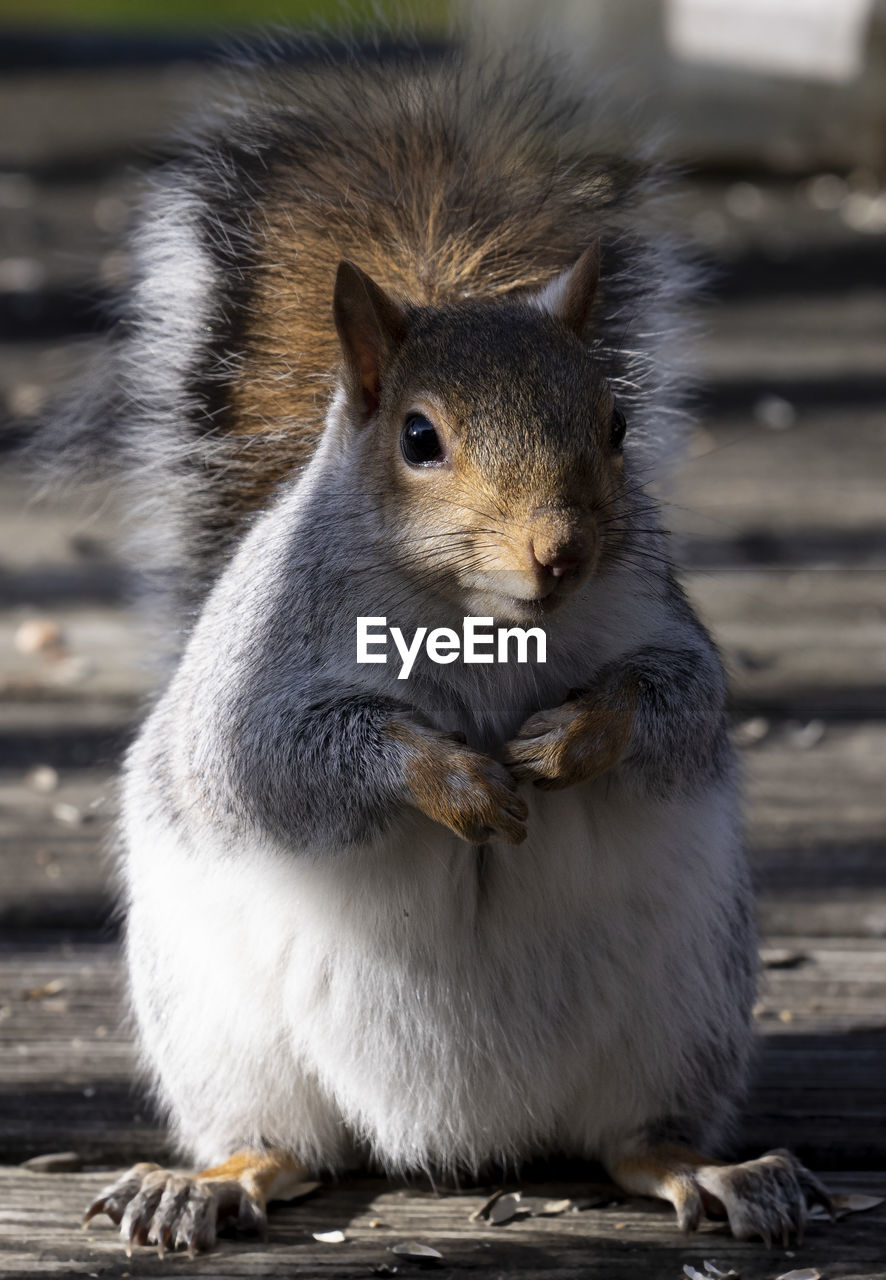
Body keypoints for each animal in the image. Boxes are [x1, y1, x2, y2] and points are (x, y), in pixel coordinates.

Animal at [72, 42, 834, 1259]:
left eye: (617, 424)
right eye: (419, 438)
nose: (560, 551)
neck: (480, 614)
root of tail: (458, 1141)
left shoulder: (665, 632)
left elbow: (681, 705)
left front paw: (572, 740)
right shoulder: (258, 690)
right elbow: (287, 761)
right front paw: (457, 782)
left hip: (686, 1007)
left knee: (634, 1143)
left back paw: (715, 1172)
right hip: (221, 1026)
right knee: (280, 1143)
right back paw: (204, 1182)